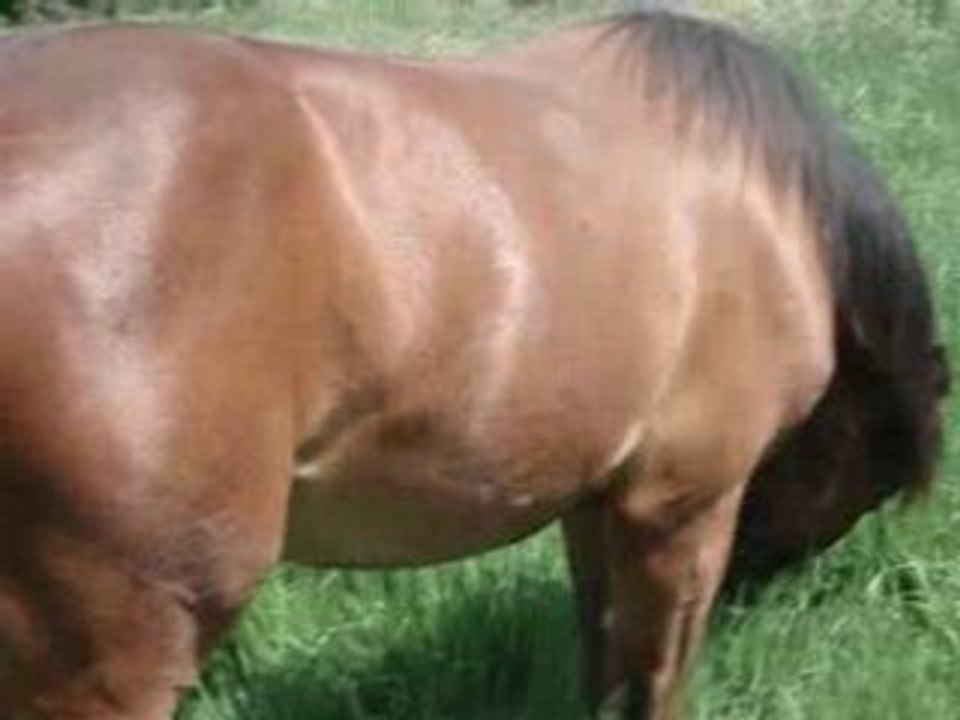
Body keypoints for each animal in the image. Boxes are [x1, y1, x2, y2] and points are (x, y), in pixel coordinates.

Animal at [0, 9, 948, 720]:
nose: (759, 595)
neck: (769, 205)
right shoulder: (681, 506)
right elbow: (652, 680)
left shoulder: (599, 498)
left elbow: (603, 657)